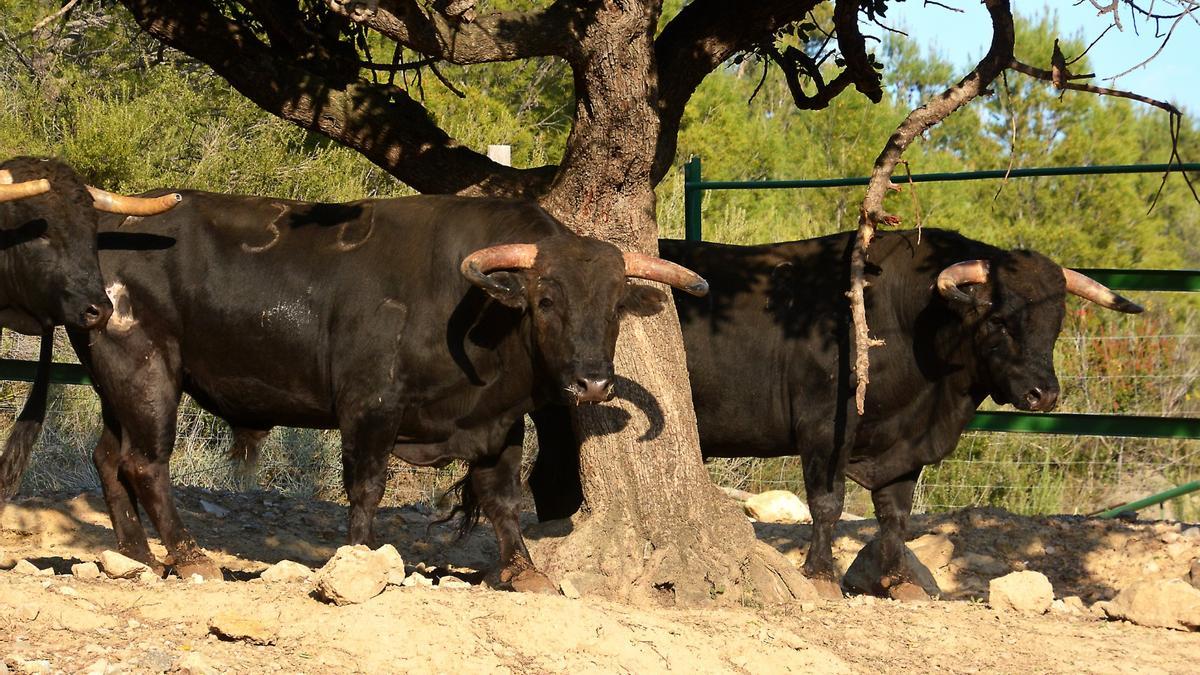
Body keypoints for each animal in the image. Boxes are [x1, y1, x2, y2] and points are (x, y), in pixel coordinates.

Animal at [528, 228, 1142, 595]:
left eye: (1054, 324)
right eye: (998, 320)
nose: (1045, 395)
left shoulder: (903, 445)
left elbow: (895, 513)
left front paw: (895, 579)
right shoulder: (824, 427)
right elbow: (827, 503)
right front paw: (820, 573)